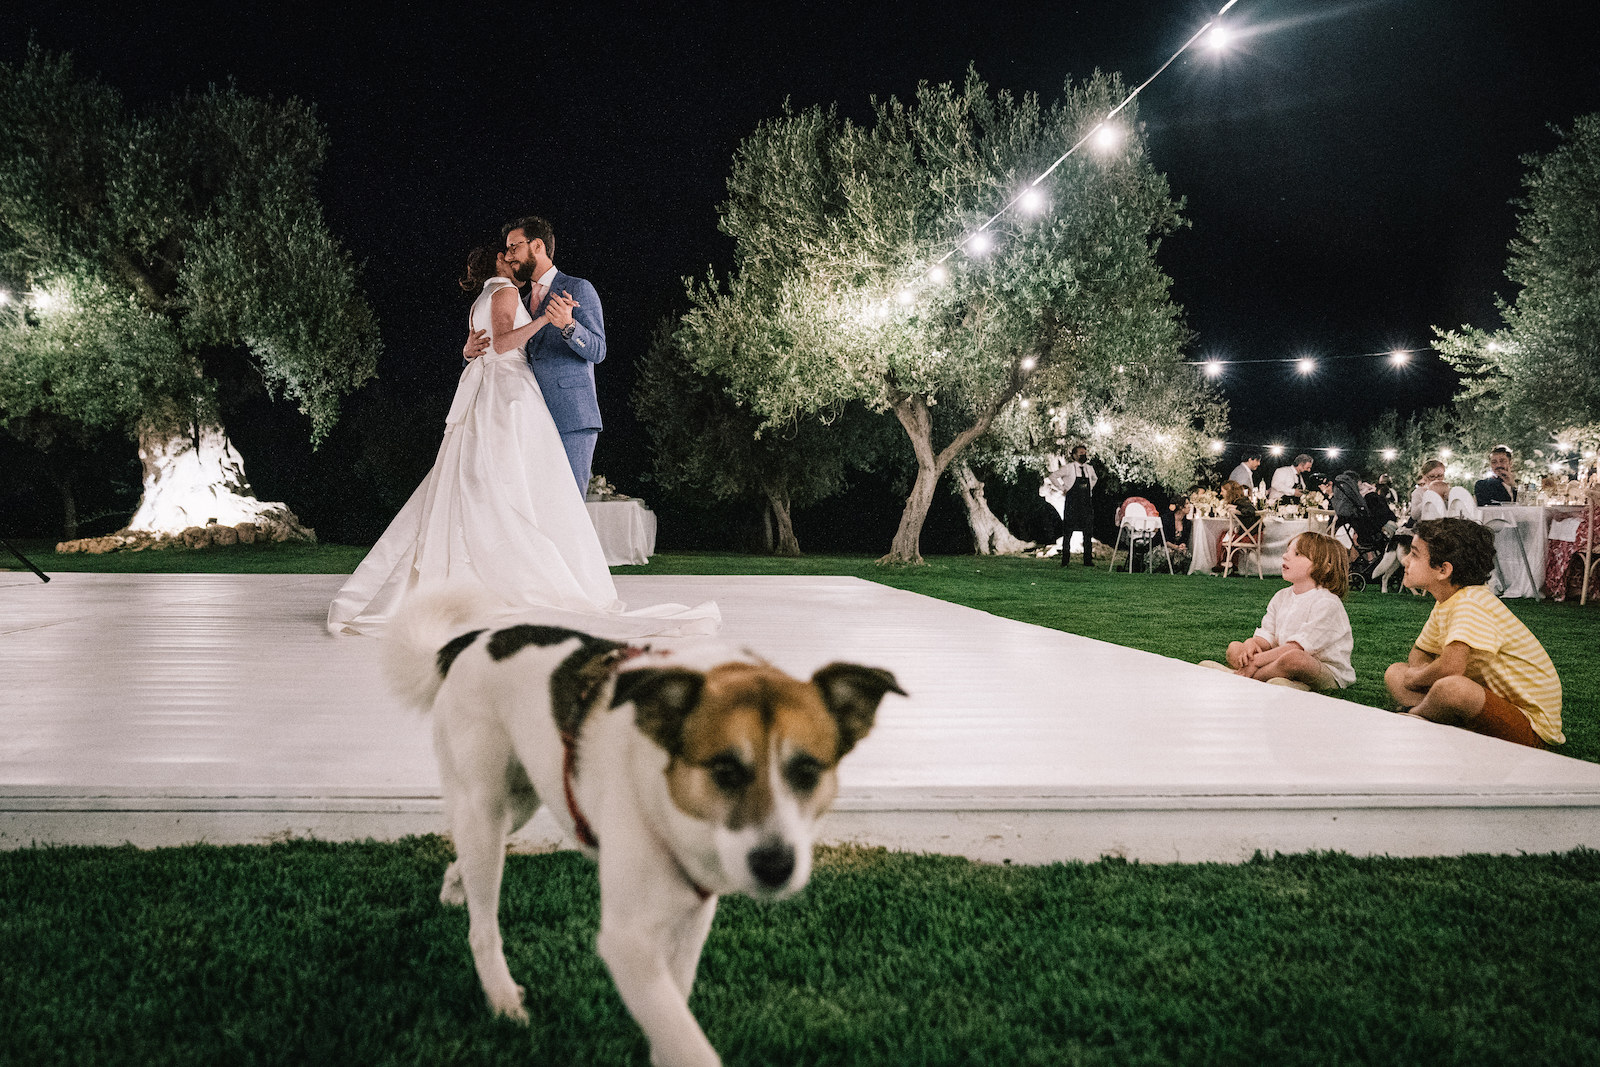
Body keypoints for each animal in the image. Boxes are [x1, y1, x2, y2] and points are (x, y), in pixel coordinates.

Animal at [377, 588, 902, 1062]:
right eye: (724, 770)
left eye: (808, 771)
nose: (776, 867)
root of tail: (472, 641)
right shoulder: (627, 941)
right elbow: (685, 1039)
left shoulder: (694, 917)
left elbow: (675, 1007)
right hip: (485, 805)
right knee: (483, 925)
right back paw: (503, 998)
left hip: (520, 802)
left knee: (467, 854)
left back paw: (454, 887)